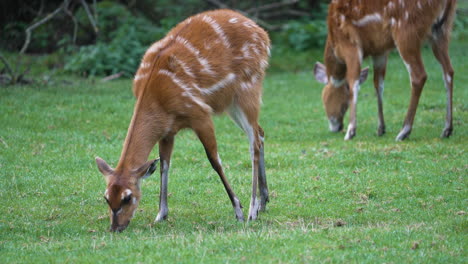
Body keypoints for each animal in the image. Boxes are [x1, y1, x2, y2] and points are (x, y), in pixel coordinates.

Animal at [95, 8, 270, 231]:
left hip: (249, 87)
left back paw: (251, 211)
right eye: (107, 197)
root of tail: (263, 34)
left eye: (128, 197)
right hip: (232, 103)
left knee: (253, 142)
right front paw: (161, 215)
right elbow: (164, 165)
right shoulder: (167, 130)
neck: (157, 98)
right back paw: (264, 202)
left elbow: (214, 160)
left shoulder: (200, 113)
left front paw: (237, 210)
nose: (115, 227)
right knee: (260, 132)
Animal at [312, 0, 456, 140]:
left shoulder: (351, 46)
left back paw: (404, 132)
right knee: (449, 71)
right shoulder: (379, 51)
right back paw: (447, 129)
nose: (336, 127)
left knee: (419, 76)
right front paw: (380, 129)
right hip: (442, 30)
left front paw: (351, 131)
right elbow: (378, 84)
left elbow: (354, 83)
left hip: (406, 30)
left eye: (324, 99)